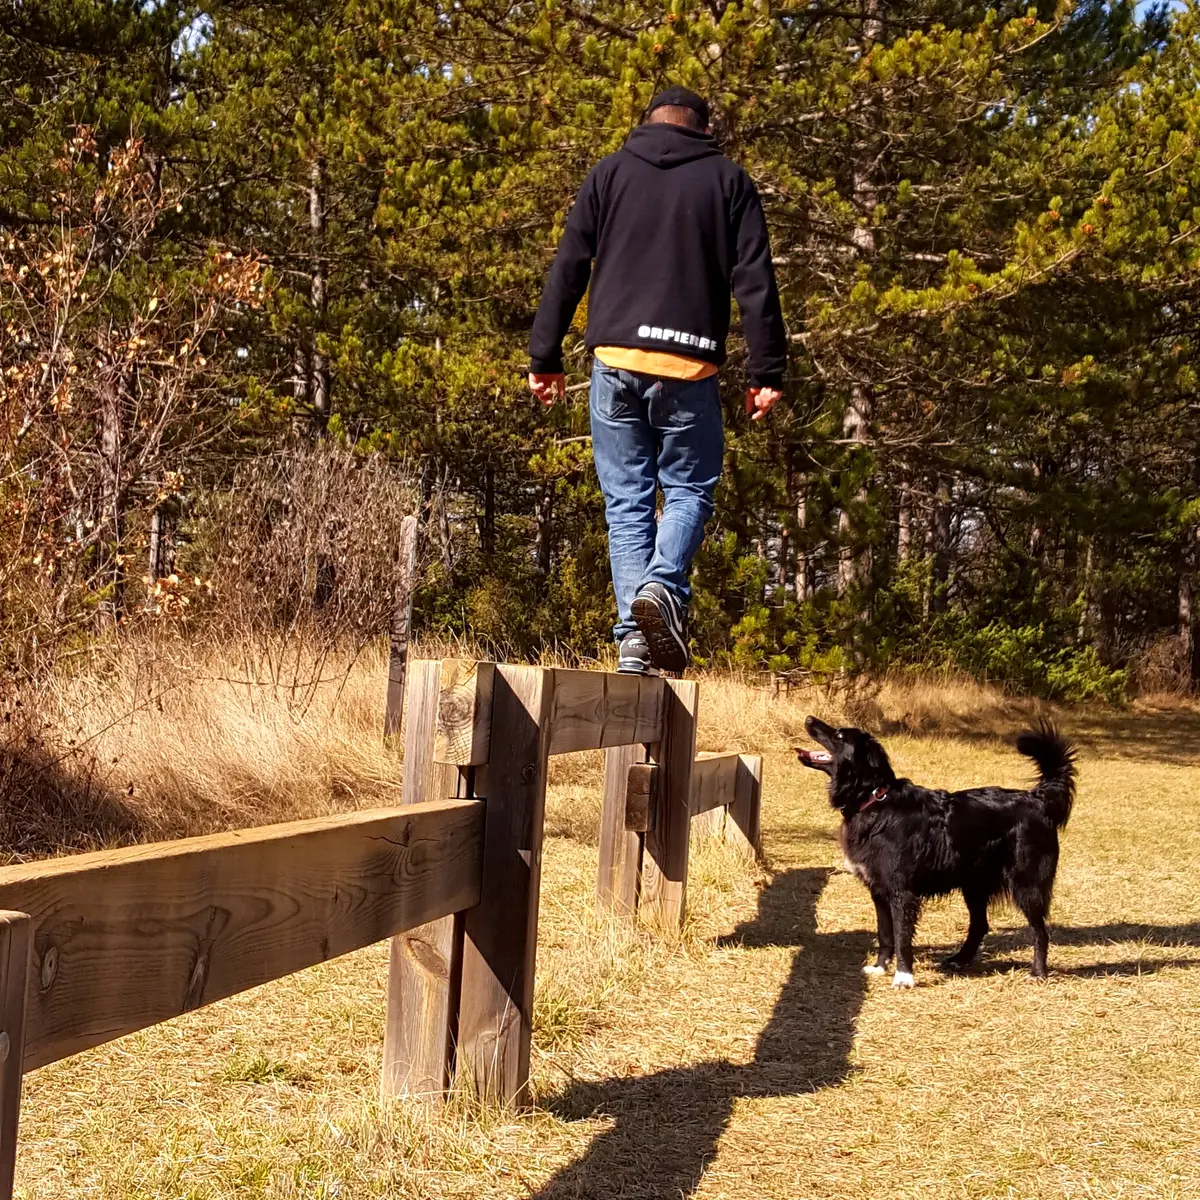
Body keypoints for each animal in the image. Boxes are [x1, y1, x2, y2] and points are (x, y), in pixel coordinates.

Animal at [801, 710, 1075, 984]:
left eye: (839, 735)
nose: (809, 719)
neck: (874, 799)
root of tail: (1037, 799)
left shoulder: (902, 893)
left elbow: (901, 937)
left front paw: (903, 977)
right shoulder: (878, 890)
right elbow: (884, 934)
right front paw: (880, 967)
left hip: (1026, 885)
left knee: (1040, 931)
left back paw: (1038, 972)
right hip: (974, 886)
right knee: (980, 925)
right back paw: (960, 960)